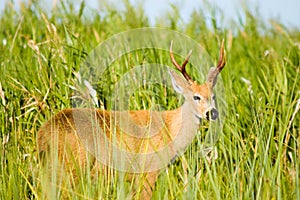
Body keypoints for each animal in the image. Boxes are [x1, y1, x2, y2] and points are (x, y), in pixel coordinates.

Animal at [37, 39, 225, 199]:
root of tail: (44, 132)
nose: (212, 113)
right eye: (196, 97)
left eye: (213, 96)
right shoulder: (149, 170)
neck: (171, 129)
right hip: (72, 165)